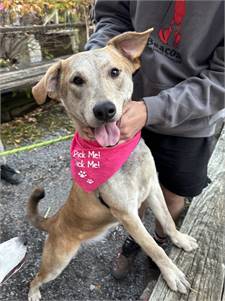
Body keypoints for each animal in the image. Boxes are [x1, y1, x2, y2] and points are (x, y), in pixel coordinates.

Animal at [27, 28, 198, 300]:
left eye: (115, 72)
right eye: (77, 80)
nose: (104, 110)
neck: (119, 153)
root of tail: (54, 220)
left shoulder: (153, 189)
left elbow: (168, 222)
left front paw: (179, 240)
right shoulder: (127, 213)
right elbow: (153, 247)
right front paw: (172, 274)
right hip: (57, 261)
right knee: (35, 278)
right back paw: (33, 292)